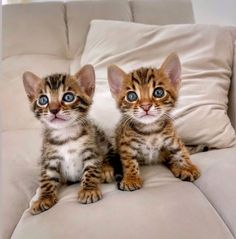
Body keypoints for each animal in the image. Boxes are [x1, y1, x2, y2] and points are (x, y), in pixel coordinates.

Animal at [22, 64, 114, 215]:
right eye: (43, 100)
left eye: (68, 97)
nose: (53, 110)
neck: (66, 135)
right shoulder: (49, 159)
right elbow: (46, 180)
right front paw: (44, 198)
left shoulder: (91, 152)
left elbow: (91, 171)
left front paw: (88, 190)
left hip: (101, 137)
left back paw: (106, 169)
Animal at [107, 53, 201, 191]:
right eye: (131, 96)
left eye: (158, 92)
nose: (146, 106)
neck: (150, 129)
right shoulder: (126, 144)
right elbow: (129, 161)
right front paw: (131, 178)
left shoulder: (172, 137)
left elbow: (181, 150)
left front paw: (188, 166)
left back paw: (178, 168)